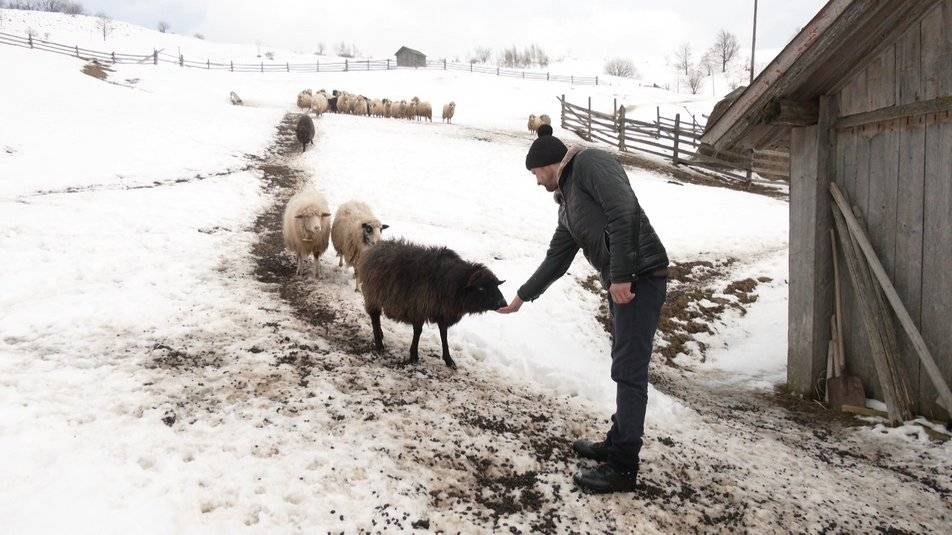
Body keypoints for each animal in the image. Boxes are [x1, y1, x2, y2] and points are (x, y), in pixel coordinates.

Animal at [356, 242, 506, 370]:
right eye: (481, 288)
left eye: (496, 286)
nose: (503, 303)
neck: (455, 283)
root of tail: (374, 247)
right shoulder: (419, 308)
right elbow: (418, 332)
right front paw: (414, 356)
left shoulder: (442, 311)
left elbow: (444, 334)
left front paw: (448, 360)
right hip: (373, 295)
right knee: (375, 317)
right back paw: (379, 344)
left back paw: (380, 335)